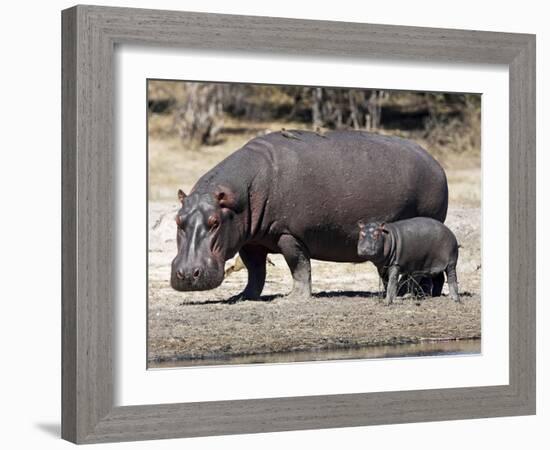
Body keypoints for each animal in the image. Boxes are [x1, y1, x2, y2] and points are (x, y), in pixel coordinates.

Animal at [170, 130, 450, 298]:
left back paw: (418, 294)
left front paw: (294, 298)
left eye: (214, 222)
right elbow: (255, 271)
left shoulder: (288, 234)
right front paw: (242, 297)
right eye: (178, 220)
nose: (187, 274)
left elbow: (299, 266)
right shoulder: (250, 240)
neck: (238, 197)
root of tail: (436, 163)